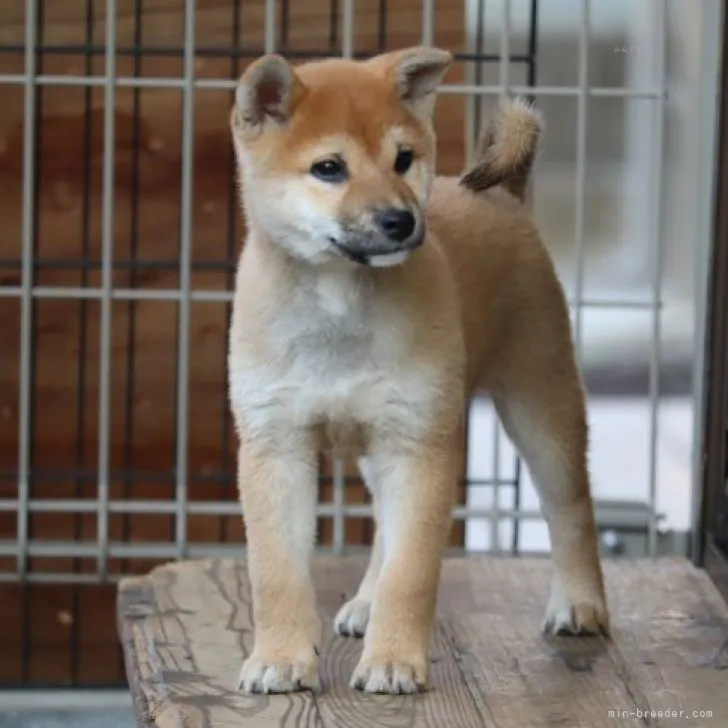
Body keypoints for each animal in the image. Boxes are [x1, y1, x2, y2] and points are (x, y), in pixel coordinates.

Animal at [229, 44, 608, 692]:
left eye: (403, 159)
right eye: (328, 168)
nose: (400, 221)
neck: (342, 304)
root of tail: (504, 196)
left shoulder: (419, 445)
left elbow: (413, 571)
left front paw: (392, 660)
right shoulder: (276, 445)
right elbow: (275, 571)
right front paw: (279, 657)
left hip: (540, 406)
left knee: (570, 508)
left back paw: (580, 603)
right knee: (386, 521)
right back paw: (363, 603)